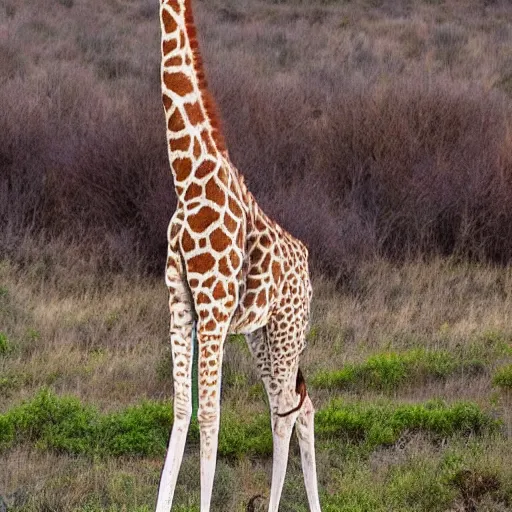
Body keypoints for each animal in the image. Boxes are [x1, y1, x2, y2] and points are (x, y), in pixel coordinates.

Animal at [156, 2, 322, 510]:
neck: (188, 177)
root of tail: (307, 264)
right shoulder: (181, 302)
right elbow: (181, 409)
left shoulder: (211, 307)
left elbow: (210, 414)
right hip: (260, 334)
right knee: (298, 405)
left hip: (289, 327)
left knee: (287, 409)